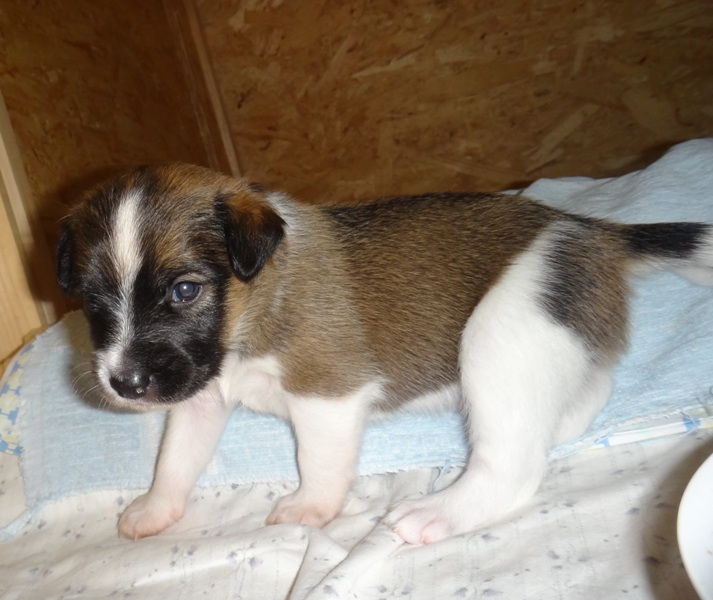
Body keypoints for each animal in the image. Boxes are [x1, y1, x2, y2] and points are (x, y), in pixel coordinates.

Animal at [56, 163, 713, 544]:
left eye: (185, 290)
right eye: (90, 299)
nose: (124, 384)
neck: (257, 300)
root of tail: (593, 231)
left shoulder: (325, 393)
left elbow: (318, 464)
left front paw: (310, 508)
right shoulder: (200, 395)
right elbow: (175, 460)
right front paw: (155, 509)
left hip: (500, 334)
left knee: (511, 468)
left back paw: (440, 513)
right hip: (556, 337)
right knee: (591, 384)